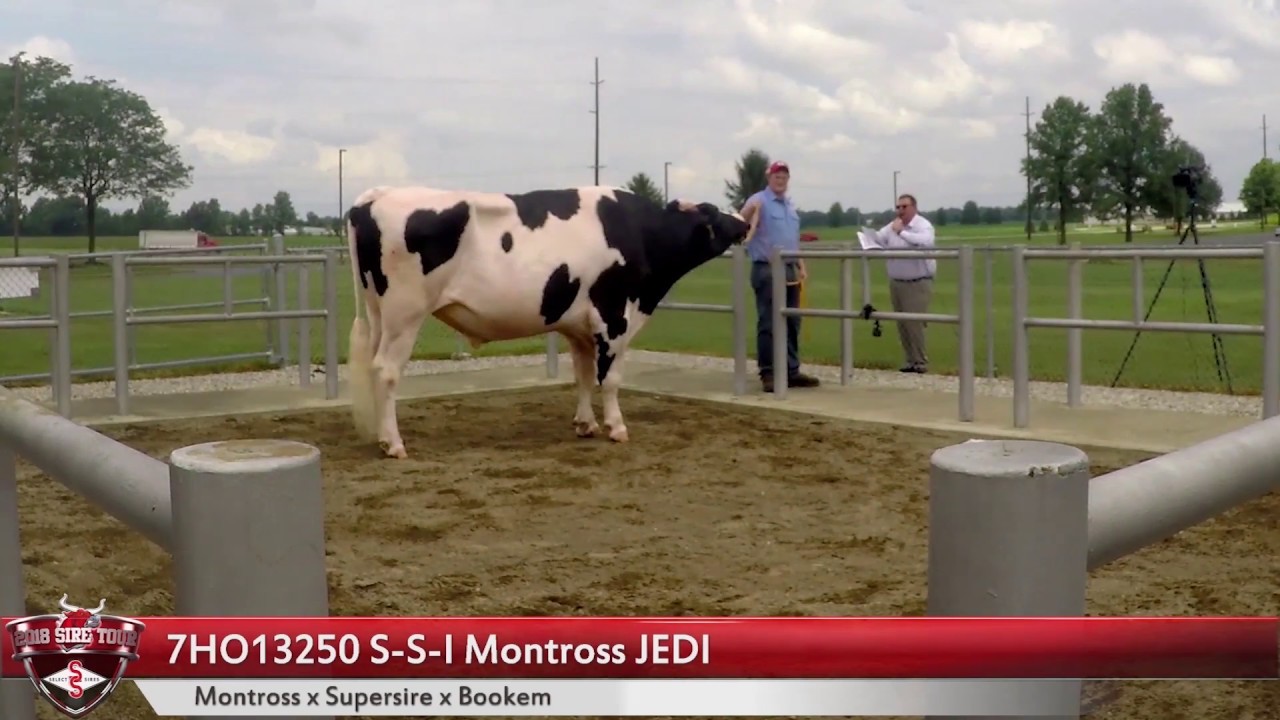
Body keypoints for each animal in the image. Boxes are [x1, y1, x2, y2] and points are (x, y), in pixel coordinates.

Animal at [344, 185, 755, 458]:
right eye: (712, 211)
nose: (744, 221)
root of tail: (375, 197)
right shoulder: (614, 317)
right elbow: (610, 378)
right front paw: (616, 427)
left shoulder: (580, 327)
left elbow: (583, 376)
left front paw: (585, 424)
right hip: (405, 314)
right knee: (386, 371)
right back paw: (394, 443)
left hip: (379, 314)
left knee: (374, 368)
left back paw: (381, 436)